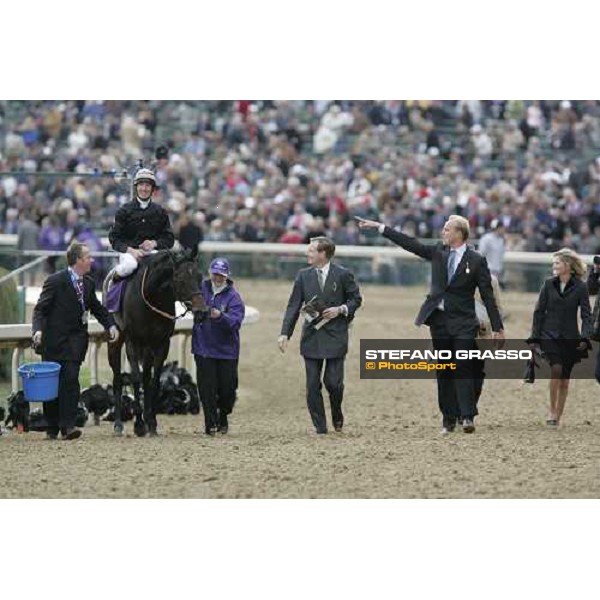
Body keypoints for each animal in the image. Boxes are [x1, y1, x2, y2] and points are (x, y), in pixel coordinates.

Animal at [106, 248, 203, 436]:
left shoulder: (161, 344)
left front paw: (151, 422)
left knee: (146, 377)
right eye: (180, 278)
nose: (203, 311)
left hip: (147, 348)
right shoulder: (133, 342)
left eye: (200, 276)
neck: (152, 299)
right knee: (117, 379)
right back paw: (118, 424)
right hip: (115, 340)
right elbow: (135, 379)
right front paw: (139, 425)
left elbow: (154, 381)